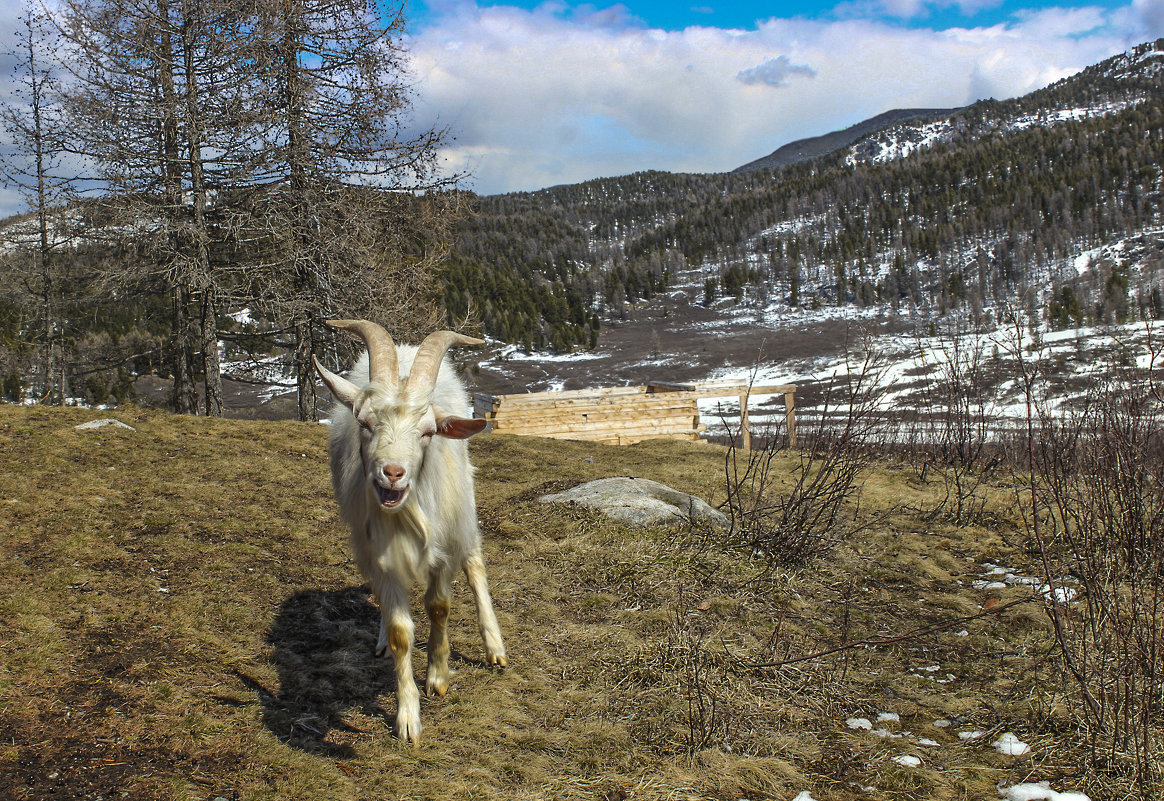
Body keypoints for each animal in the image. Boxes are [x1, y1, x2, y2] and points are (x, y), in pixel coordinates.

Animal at [314, 319, 505, 745]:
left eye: (428, 432)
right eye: (365, 424)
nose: (393, 473)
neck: (405, 515)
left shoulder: (443, 550)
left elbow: (439, 606)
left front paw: (437, 675)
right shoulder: (378, 554)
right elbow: (402, 630)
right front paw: (407, 718)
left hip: (465, 509)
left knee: (475, 565)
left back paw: (495, 647)